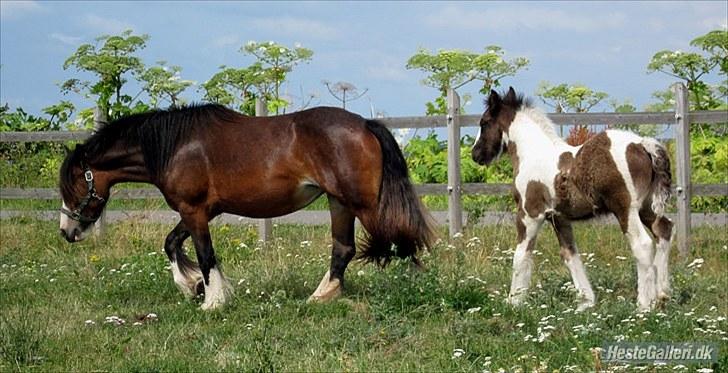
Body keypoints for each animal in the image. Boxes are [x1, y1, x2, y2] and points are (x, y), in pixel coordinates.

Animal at [59, 104, 432, 308]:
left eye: (73, 184)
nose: (67, 231)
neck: (174, 146)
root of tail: (365, 124)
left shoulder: (193, 210)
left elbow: (205, 255)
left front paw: (212, 300)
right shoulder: (201, 211)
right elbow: (172, 243)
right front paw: (191, 286)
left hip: (362, 204)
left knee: (399, 242)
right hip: (339, 202)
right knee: (345, 248)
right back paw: (320, 296)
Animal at [472, 88, 672, 310]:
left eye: (484, 122)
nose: (475, 154)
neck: (533, 154)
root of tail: (642, 145)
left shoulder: (529, 214)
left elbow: (521, 254)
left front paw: (514, 301)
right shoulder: (558, 217)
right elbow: (570, 254)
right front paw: (586, 302)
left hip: (625, 208)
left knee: (642, 244)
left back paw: (644, 305)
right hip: (647, 207)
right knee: (664, 229)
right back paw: (662, 294)